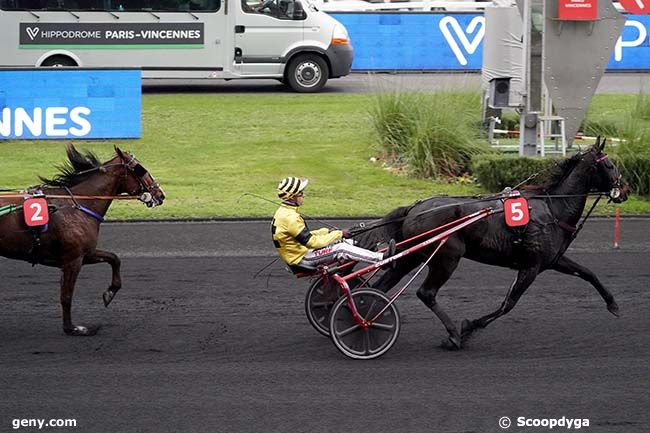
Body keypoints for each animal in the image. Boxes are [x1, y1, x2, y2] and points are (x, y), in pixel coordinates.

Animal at [0, 143, 165, 336]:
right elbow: (66, 296)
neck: (78, 205)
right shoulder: (74, 259)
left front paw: (109, 293)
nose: (160, 194)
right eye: (140, 169)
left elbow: (114, 259)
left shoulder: (86, 254)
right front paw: (72, 328)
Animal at [352, 138, 624, 348]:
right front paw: (468, 327)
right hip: (447, 257)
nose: (625, 189)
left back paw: (363, 321)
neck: (553, 210)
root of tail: (413, 209)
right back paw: (453, 335)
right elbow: (508, 305)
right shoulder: (531, 266)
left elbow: (588, 273)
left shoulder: (553, 260)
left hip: (411, 256)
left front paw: (613, 304)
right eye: (610, 165)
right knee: (425, 293)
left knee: (381, 287)